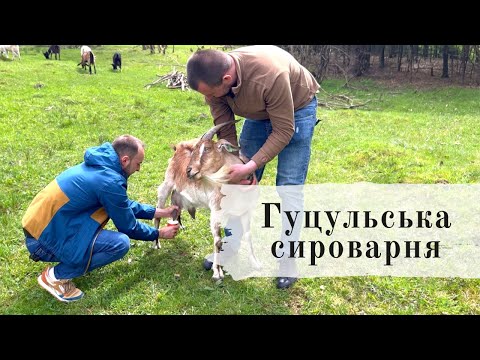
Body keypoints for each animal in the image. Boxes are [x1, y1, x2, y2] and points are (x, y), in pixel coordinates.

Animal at [155, 122, 258, 282]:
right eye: (195, 151)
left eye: (207, 148)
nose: (189, 171)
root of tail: (178, 149)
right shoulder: (216, 210)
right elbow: (218, 241)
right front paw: (217, 273)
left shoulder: (246, 210)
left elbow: (248, 235)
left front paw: (255, 264)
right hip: (167, 184)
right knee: (158, 209)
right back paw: (157, 243)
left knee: (175, 205)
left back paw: (178, 225)